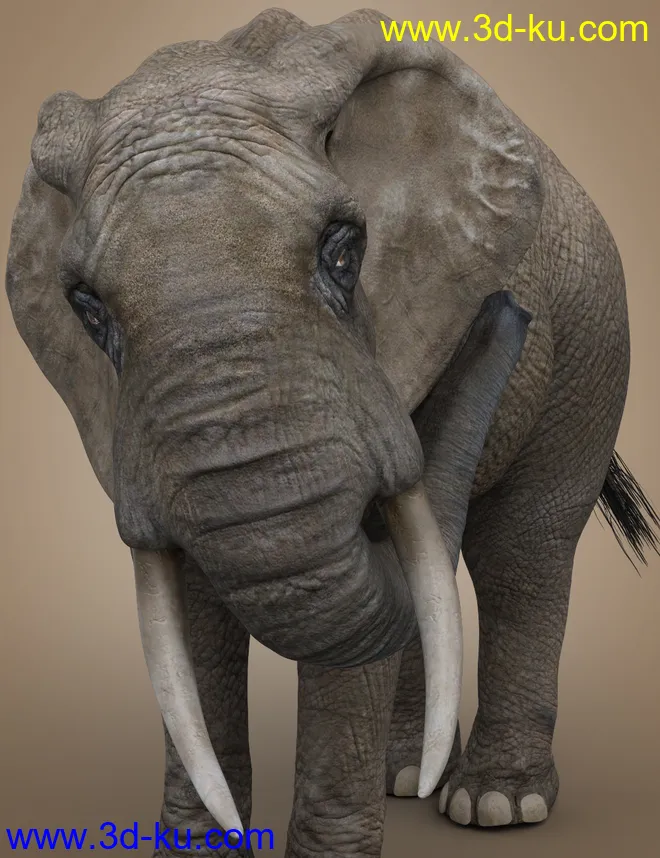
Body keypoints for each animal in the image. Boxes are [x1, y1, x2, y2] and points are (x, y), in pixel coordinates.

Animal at [5, 7, 659, 857]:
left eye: (343, 251)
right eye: (86, 308)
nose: (506, 310)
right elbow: (194, 603)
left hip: (594, 339)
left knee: (521, 550)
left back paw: (495, 803)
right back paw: (408, 778)